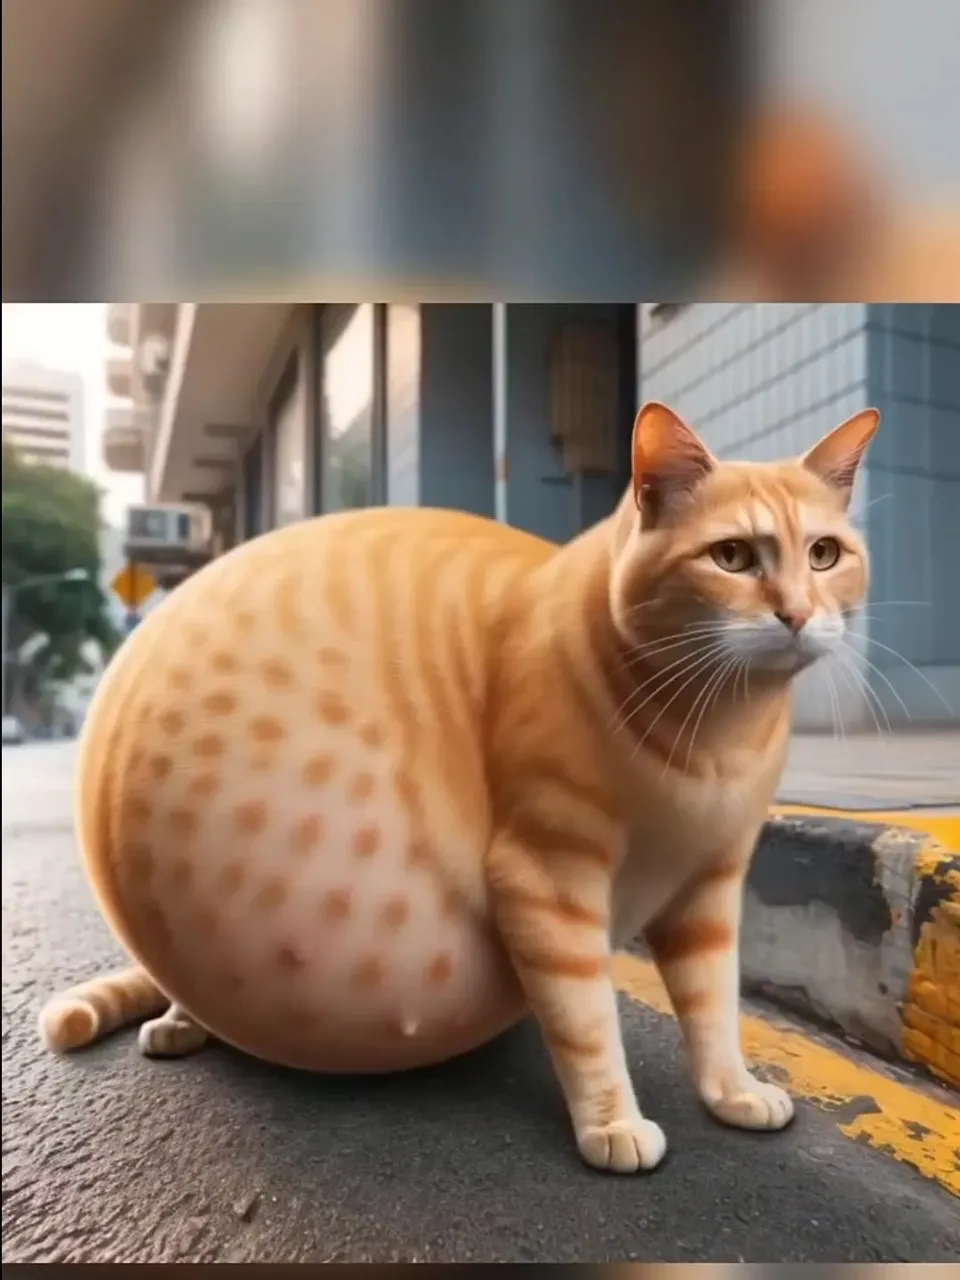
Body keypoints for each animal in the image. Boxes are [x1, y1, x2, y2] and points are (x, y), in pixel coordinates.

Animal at [37, 399, 880, 1172]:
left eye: (824, 554)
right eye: (732, 557)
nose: (798, 613)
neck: (718, 735)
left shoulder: (709, 887)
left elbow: (712, 1005)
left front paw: (730, 1090)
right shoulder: (547, 878)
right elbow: (588, 1021)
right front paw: (611, 1121)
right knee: (179, 983)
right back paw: (182, 1022)